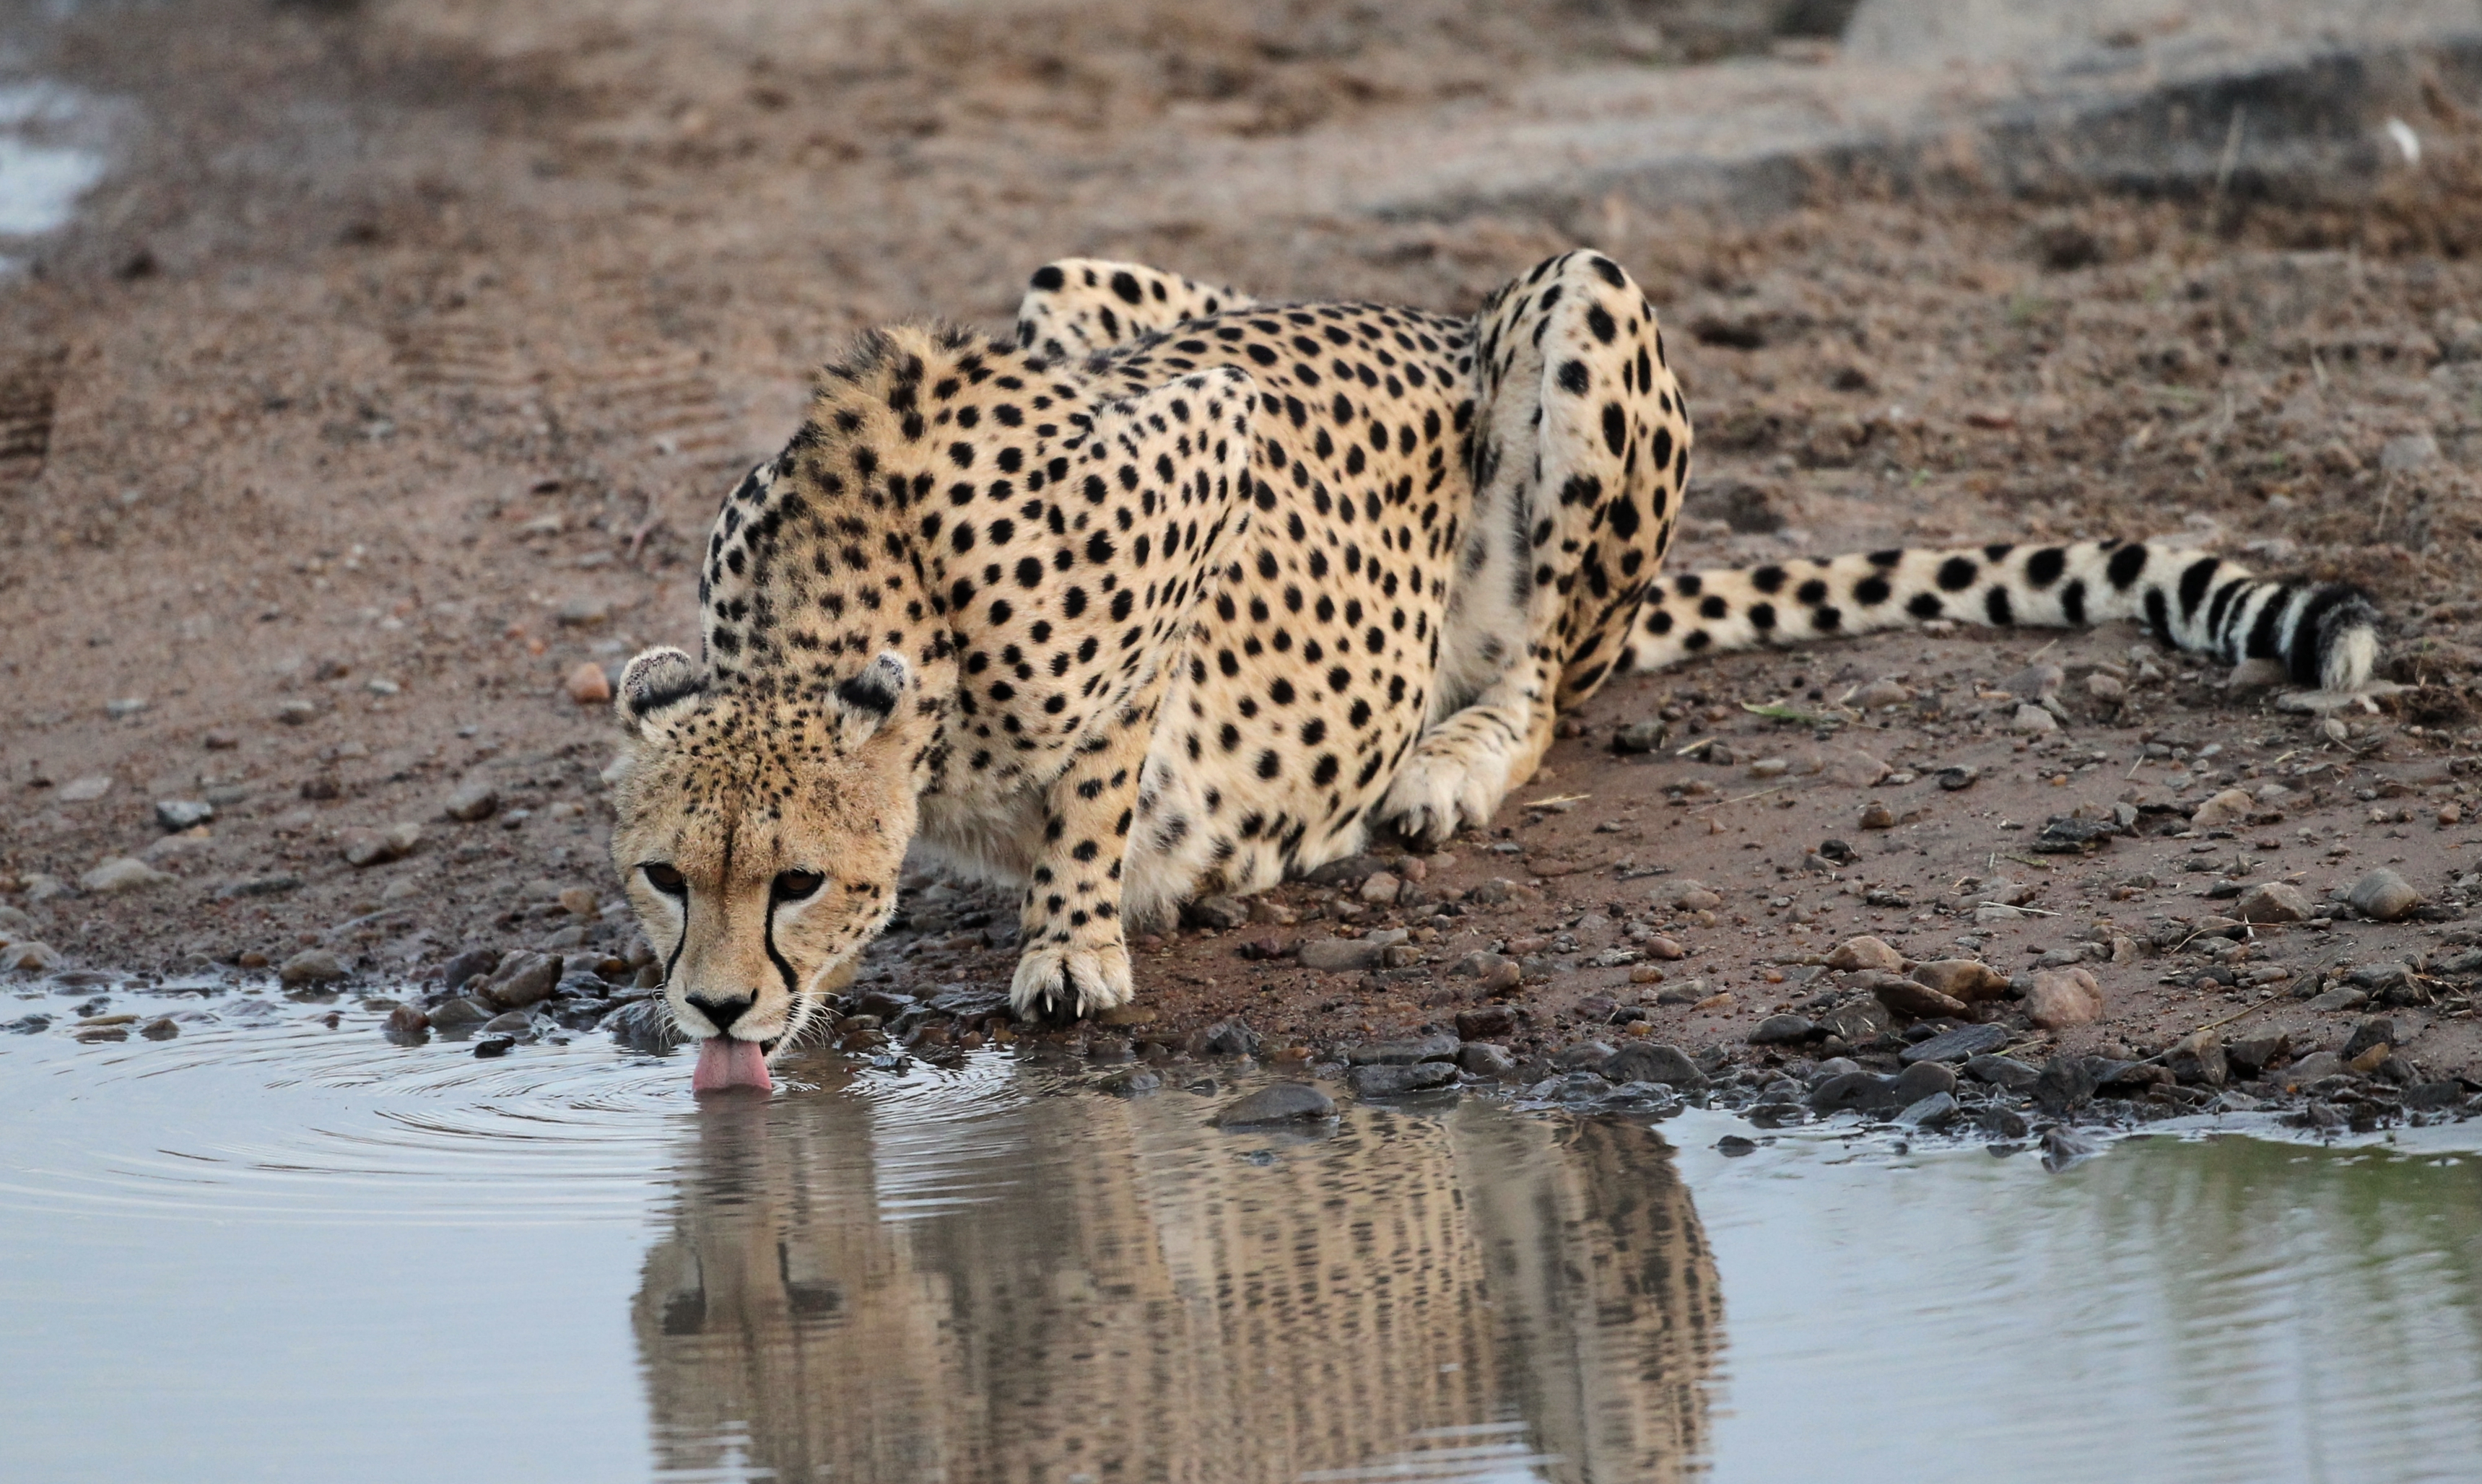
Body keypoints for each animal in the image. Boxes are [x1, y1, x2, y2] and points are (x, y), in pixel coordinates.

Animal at [605, 250, 2382, 1091]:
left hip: (1577, 313)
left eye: (795, 881)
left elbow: (1109, 764)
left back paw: (1441, 764)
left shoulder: (1202, 447)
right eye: (661, 877)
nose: (713, 1005)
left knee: (1542, 683)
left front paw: (1077, 934)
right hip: (1069, 287)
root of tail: (1434, 314)